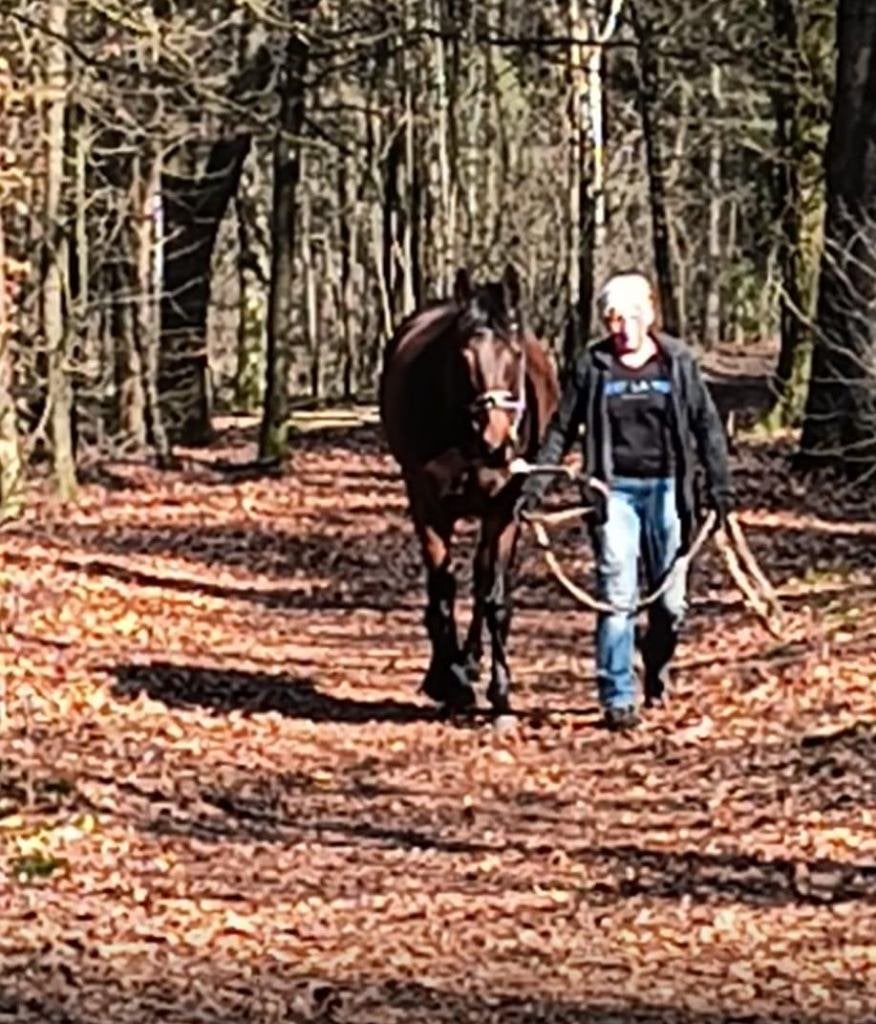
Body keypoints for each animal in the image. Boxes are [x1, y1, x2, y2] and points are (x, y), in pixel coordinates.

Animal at [379, 264, 560, 718]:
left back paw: (475, 660)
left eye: (515, 353)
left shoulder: (505, 510)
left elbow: (493, 594)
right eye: (463, 355)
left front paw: (500, 688)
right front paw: (448, 682)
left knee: (483, 579)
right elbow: (442, 590)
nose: (496, 440)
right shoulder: (428, 508)